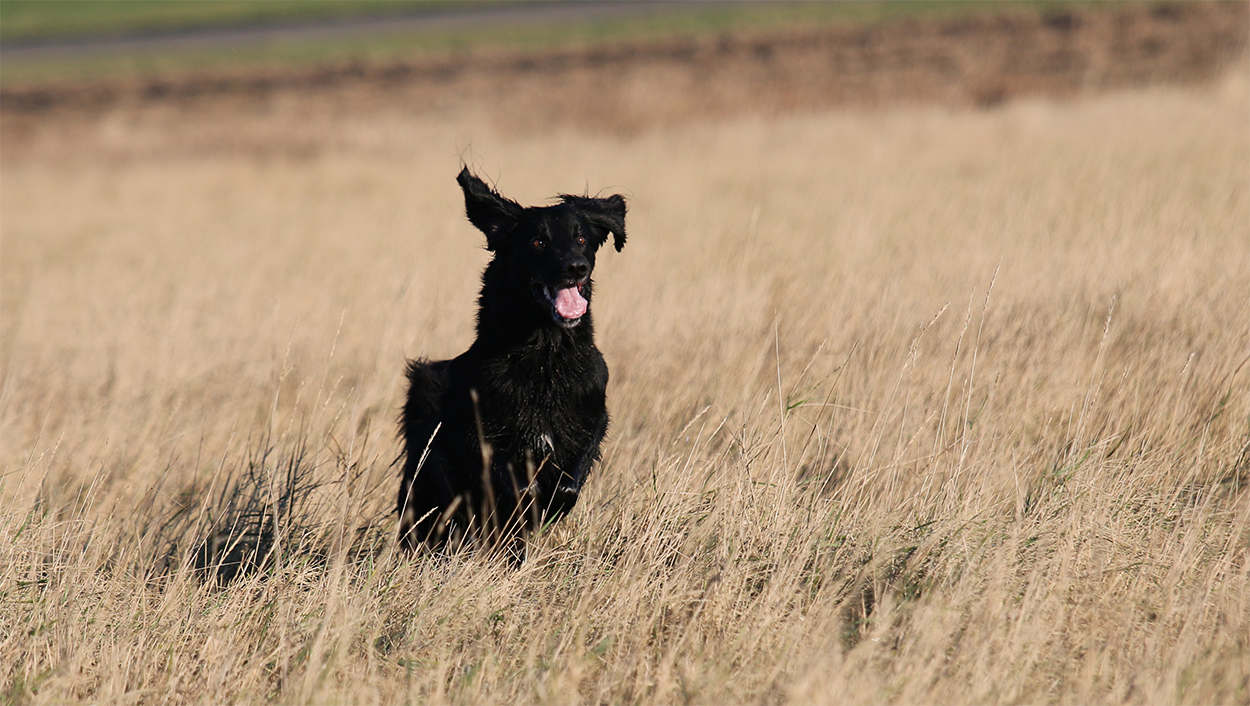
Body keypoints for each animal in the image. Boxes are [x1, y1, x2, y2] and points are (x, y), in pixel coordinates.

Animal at [398, 168, 626, 552]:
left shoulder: (593, 417)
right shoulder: (475, 432)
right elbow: (519, 486)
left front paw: (550, 506)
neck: (544, 358)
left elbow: (568, 484)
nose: (576, 268)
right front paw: (530, 504)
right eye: (537, 242)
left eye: (581, 238)